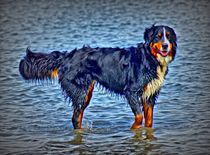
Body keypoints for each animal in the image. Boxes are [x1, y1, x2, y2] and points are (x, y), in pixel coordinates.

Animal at [19, 25, 177, 130]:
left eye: (168, 36)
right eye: (158, 36)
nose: (165, 46)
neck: (150, 59)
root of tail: (67, 56)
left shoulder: (150, 95)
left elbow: (149, 121)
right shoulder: (131, 91)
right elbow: (139, 117)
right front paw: (133, 129)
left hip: (86, 93)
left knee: (78, 116)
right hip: (80, 91)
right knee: (75, 117)